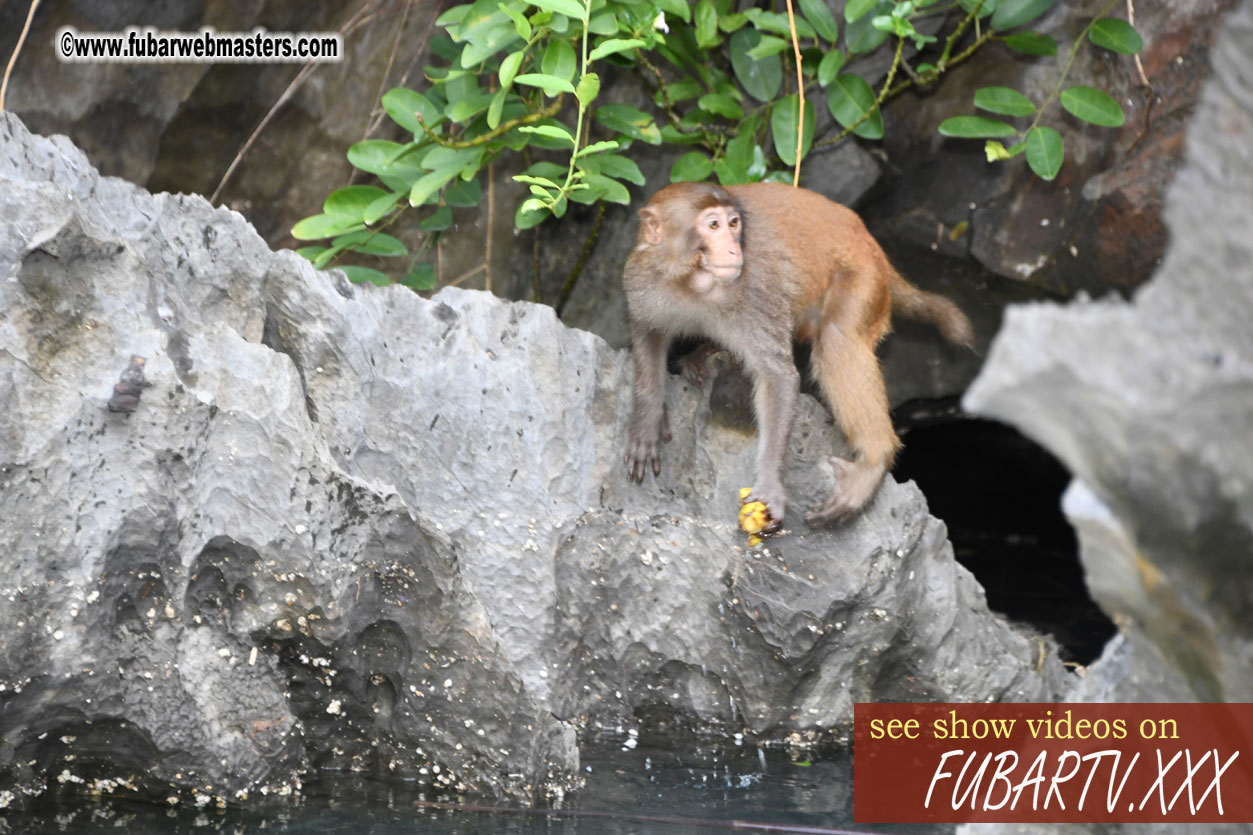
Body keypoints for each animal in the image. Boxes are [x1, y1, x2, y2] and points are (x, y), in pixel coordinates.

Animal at [621, 179, 972, 524]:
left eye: (733, 224)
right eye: (713, 225)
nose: (734, 248)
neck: (691, 282)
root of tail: (867, 238)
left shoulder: (755, 289)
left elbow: (777, 377)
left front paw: (770, 483)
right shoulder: (641, 279)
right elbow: (648, 333)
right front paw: (647, 422)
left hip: (864, 278)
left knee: (837, 339)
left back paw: (874, 459)